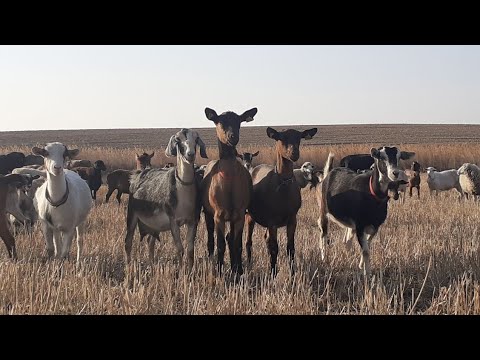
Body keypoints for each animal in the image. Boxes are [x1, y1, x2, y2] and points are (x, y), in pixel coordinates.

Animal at [200, 107, 256, 276]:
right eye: (220, 121)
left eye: (239, 122)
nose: (233, 137)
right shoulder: (218, 214)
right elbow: (220, 245)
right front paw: (219, 270)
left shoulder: (239, 214)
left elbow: (236, 244)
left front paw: (238, 271)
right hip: (208, 213)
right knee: (211, 240)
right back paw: (212, 261)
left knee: (230, 239)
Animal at [244, 126, 318, 272]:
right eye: (281, 137)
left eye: (299, 137)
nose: (294, 153)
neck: (283, 187)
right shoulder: (272, 221)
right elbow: (274, 249)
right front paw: (272, 273)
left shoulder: (292, 219)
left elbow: (291, 248)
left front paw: (292, 273)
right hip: (250, 216)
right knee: (249, 241)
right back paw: (249, 265)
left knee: (266, 239)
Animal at [316, 146, 414, 276]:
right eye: (381, 157)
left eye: (399, 157)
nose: (395, 173)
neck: (373, 194)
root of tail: (330, 172)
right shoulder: (360, 226)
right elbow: (366, 250)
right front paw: (367, 273)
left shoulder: (375, 226)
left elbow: (367, 245)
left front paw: (360, 265)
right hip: (324, 211)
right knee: (323, 234)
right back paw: (324, 257)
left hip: (350, 224)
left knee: (347, 241)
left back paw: (349, 258)